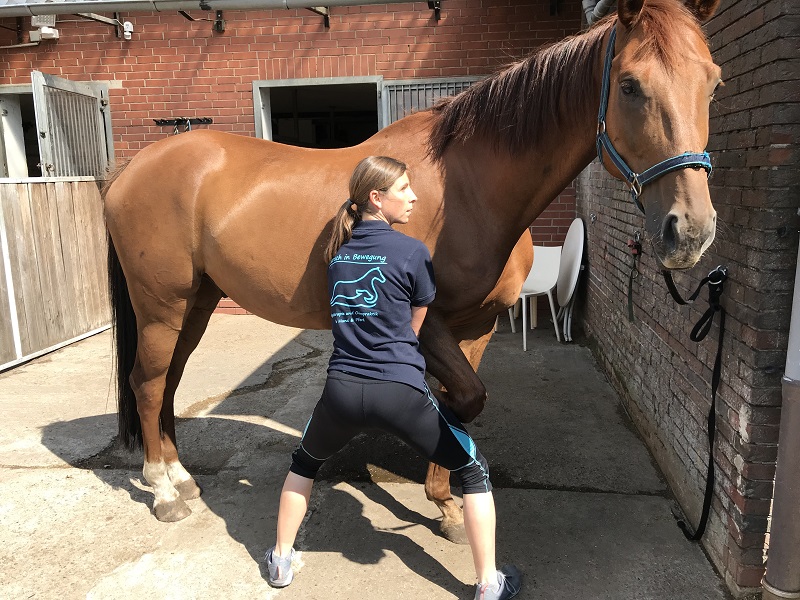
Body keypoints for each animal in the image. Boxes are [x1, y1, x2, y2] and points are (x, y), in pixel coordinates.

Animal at [104, 0, 722, 542]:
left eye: (713, 83)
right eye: (629, 85)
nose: (690, 231)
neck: (467, 189)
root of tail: (131, 169)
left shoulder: (478, 324)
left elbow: (463, 400)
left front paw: (447, 502)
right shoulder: (429, 323)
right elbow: (459, 399)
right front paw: (442, 493)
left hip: (197, 303)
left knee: (168, 381)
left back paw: (181, 477)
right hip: (162, 305)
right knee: (147, 382)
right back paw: (163, 491)